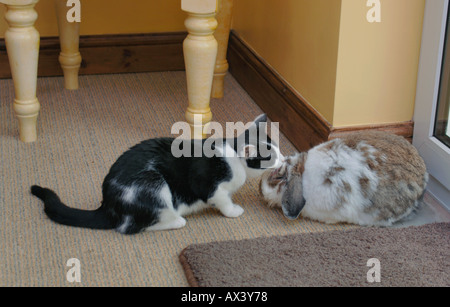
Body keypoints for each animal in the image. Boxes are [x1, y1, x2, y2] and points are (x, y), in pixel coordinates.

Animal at [30, 115, 282, 236]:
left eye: (278, 149)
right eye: (271, 157)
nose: (284, 158)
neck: (232, 155)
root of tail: (108, 204)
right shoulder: (210, 184)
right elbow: (220, 199)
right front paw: (232, 210)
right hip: (153, 184)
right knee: (129, 227)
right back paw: (176, 220)